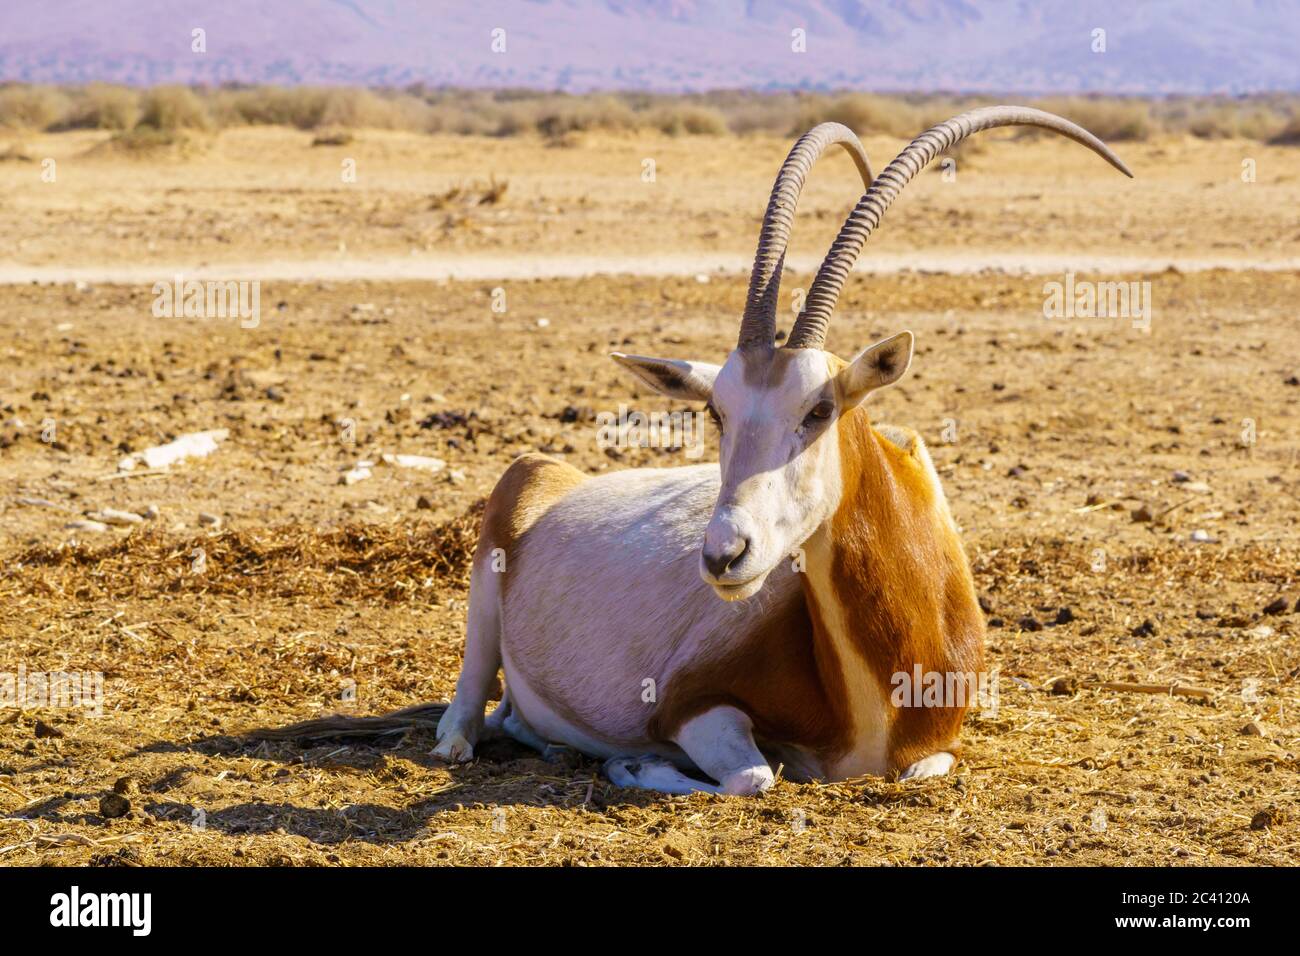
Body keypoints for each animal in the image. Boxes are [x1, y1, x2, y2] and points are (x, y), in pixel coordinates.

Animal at [431, 106, 1133, 790]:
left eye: (819, 411)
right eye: (716, 411)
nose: (723, 555)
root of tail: (558, 478)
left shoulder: (937, 746)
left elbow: (922, 769)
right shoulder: (686, 706)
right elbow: (756, 776)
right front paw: (633, 763)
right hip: (492, 569)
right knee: (466, 705)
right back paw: (467, 744)